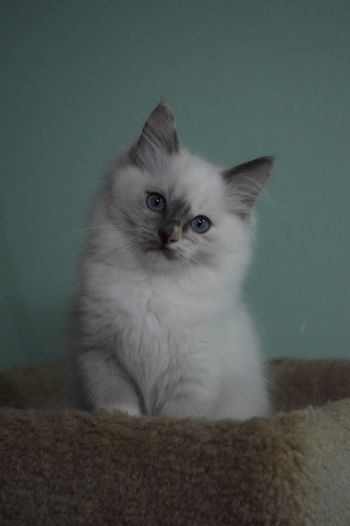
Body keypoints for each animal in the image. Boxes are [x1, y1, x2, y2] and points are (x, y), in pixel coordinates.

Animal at [69, 103, 274, 422]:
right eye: (156, 202)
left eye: (200, 224)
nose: (168, 236)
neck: (153, 288)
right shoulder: (101, 356)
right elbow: (118, 405)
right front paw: (123, 422)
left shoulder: (191, 378)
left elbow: (178, 420)